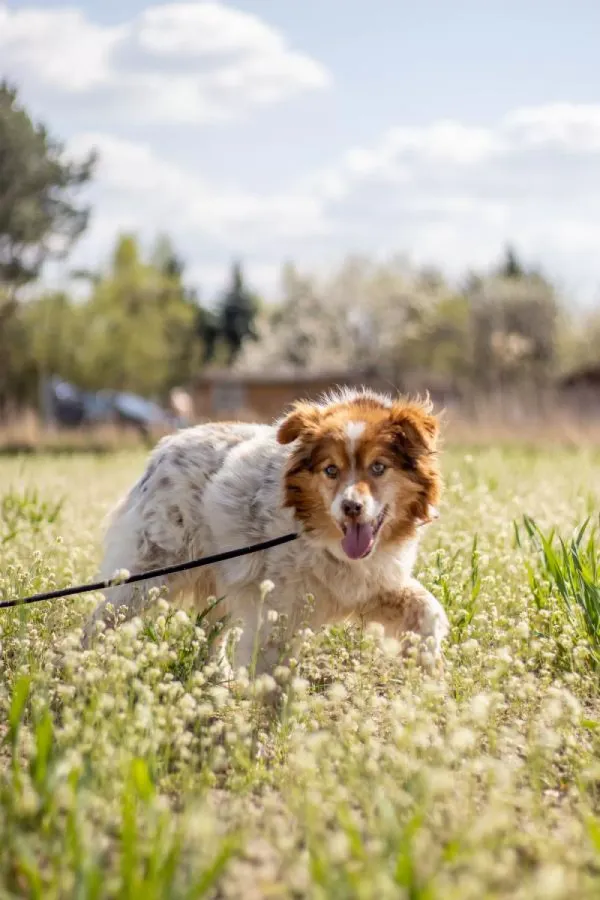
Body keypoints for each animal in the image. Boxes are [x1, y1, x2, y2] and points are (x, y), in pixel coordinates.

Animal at [83, 388, 450, 676]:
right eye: (330, 470)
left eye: (378, 467)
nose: (350, 507)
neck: (323, 539)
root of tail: (165, 447)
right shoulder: (278, 614)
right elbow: (272, 676)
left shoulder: (372, 584)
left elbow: (428, 610)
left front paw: (427, 669)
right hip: (149, 575)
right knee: (100, 621)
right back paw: (81, 669)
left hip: (223, 581)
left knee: (210, 631)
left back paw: (218, 676)